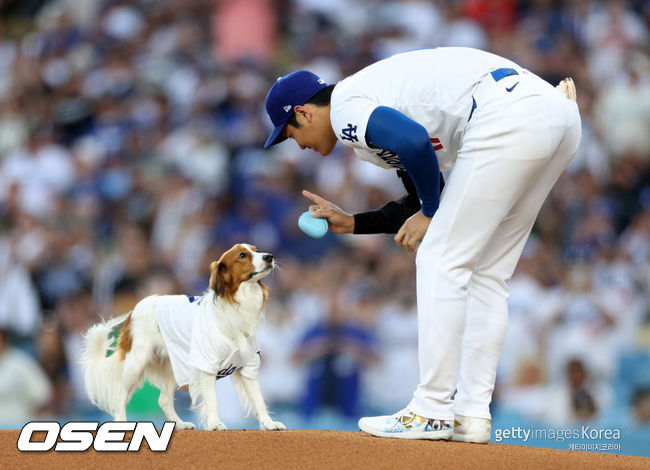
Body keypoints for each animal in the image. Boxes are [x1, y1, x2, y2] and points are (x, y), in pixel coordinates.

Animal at [80, 244, 284, 432]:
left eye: (256, 250)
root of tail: (135, 309)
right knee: (120, 396)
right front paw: (215, 423)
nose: (270, 256)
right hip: (136, 364)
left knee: (163, 399)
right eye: (242, 255)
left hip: (174, 367)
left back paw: (179, 424)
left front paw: (269, 423)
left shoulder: (249, 364)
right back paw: (122, 423)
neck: (236, 306)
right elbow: (213, 400)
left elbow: (258, 399)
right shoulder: (207, 365)